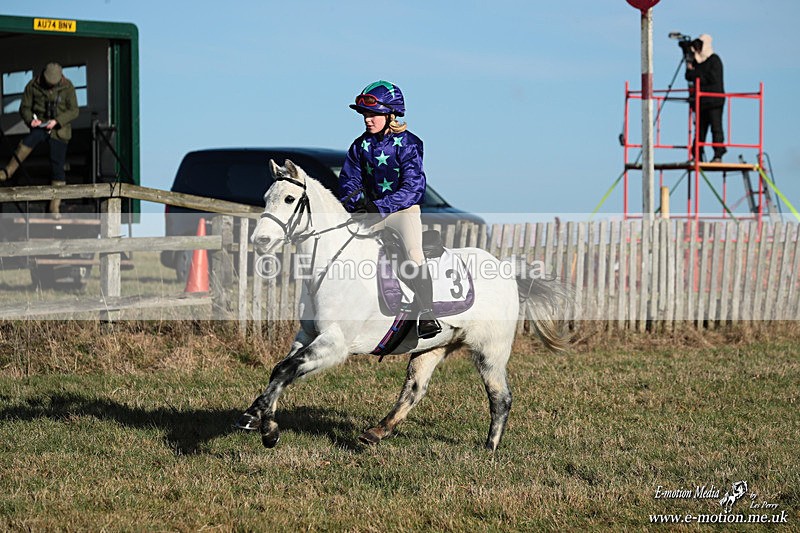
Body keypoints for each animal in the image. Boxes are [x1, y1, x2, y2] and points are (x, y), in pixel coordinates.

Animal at [234, 159, 573, 451]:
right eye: (266, 198)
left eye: (290, 199)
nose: (260, 241)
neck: (332, 264)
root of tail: (505, 269)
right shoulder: (307, 336)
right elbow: (281, 370)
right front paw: (256, 416)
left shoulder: (335, 343)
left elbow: (286, 369)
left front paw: (267, 429)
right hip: (433, 346)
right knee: (414, 390)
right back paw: (375, 432)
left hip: (490, 351)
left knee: (500, 397)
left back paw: (489, 449)